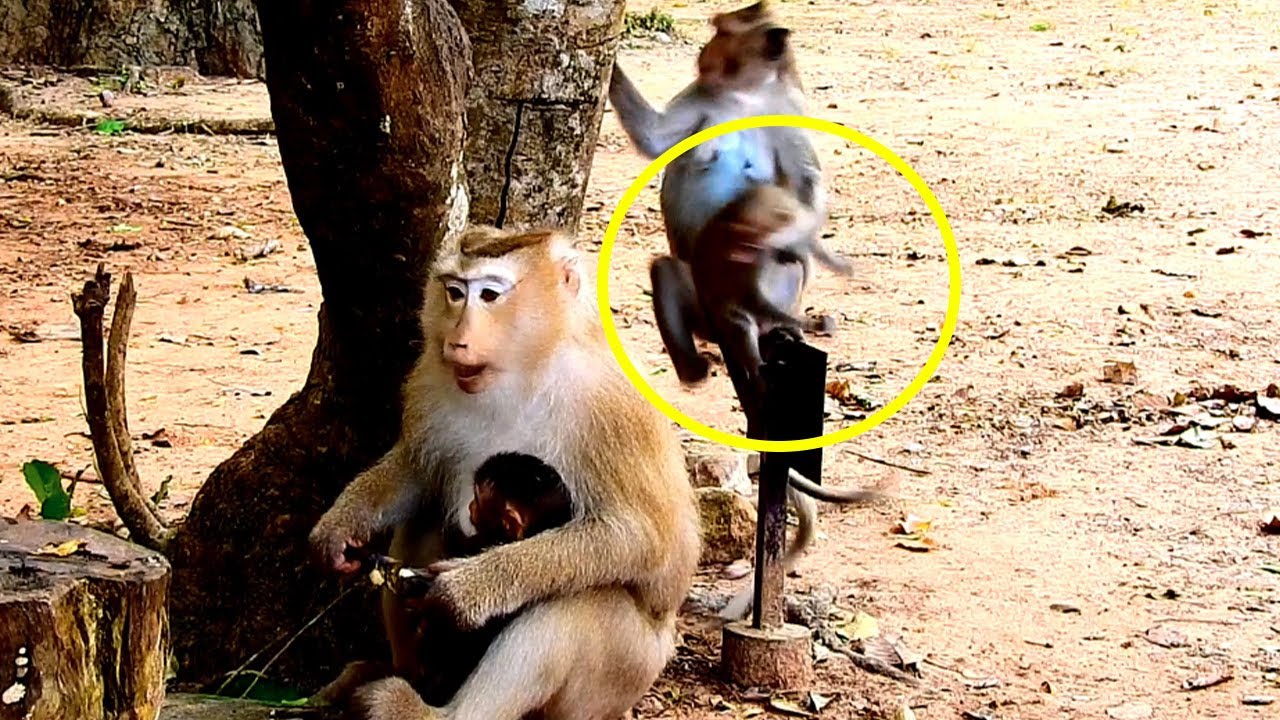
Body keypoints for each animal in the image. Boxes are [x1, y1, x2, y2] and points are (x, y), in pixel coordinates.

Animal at [308, 225, 701, 720]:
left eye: (490, 295)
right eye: (455, 292)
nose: (457, 340)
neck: (526, 371)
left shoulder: (610, 406)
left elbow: (639, 536)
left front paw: (466, 590)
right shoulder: (429, 377)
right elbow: (420, 468)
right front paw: (341, 526)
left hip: (623, 674)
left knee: (574, 601)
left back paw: (435, 712)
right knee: (424, 520)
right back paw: (406, 675)